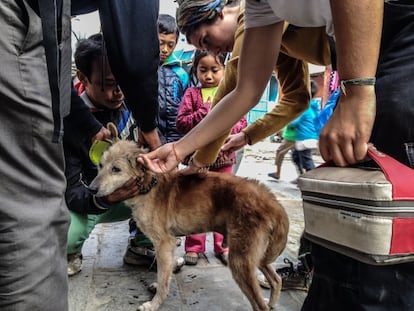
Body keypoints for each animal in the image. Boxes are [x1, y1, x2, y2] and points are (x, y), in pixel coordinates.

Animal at [88, 124, 288, 311]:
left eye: (116, 169)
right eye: (100, 166)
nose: (90, 189)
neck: (149, 186)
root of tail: (271, 201)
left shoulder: (164, 243)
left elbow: (163, 277)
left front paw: (154, 304)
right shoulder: (167, 245)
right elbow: (165, 274)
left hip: (241, 260)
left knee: (260, 304)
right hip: (256, 255)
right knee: (276, 279)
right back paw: (272, 301)